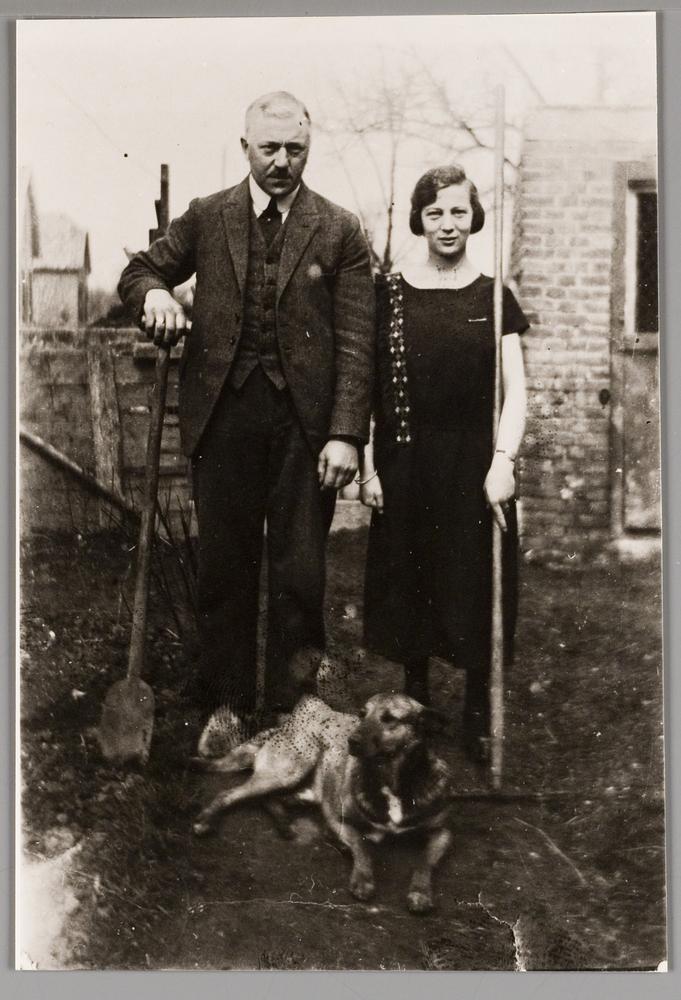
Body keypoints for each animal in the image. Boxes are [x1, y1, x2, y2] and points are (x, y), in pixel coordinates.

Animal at [191, 689, 453, 914]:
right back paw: (206, 821)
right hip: (289, 770)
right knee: (229, 794)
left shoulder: (443, 832)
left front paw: (420, 892)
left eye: (389, 719)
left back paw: (284, 823)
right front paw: (363, 878)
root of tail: (295, 717)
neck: (392, 780)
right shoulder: (339, 819)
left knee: (268, 798)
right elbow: (362, 846)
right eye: (362, 714)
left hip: (301, 789)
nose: (351, 741)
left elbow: (424, 862)